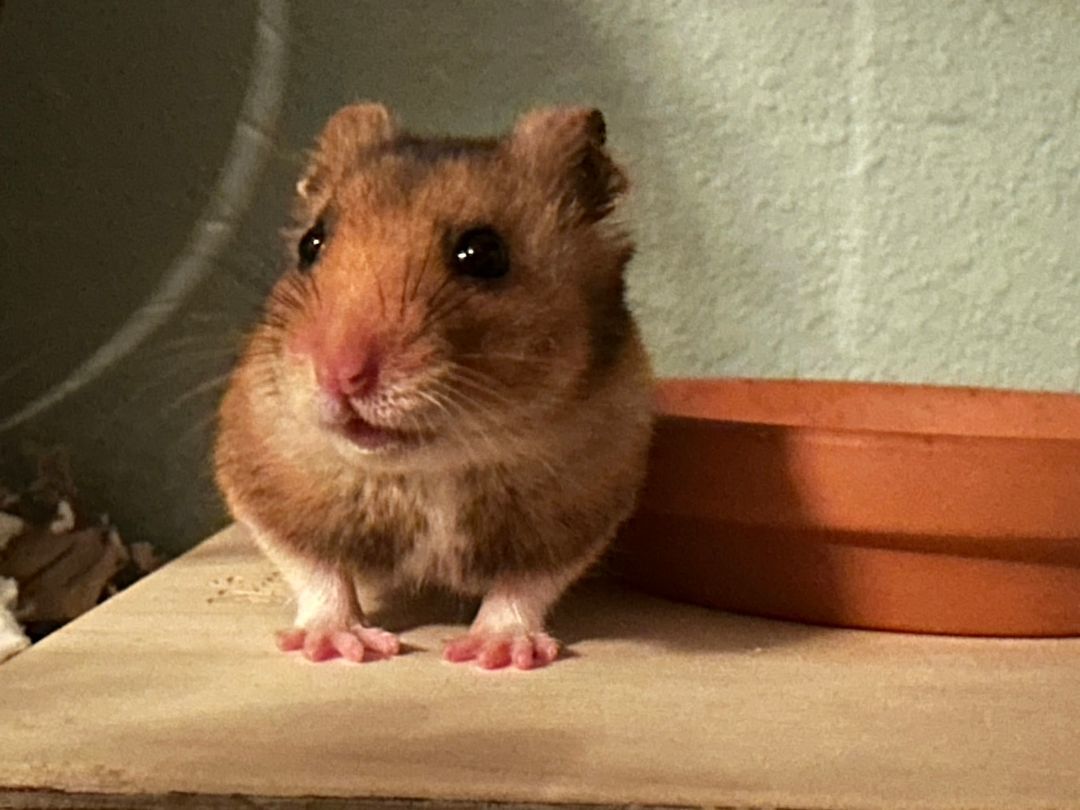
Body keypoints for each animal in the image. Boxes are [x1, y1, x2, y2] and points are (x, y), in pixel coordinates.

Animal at [214, 103, 653, 670]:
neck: (432, 464)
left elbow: (523, 585)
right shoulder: (262, 480)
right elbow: (317, 570)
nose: (338, 373)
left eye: (483, 253)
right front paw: (337, 646)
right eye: (311, 243)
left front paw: (495, 652)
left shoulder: (583, 508)